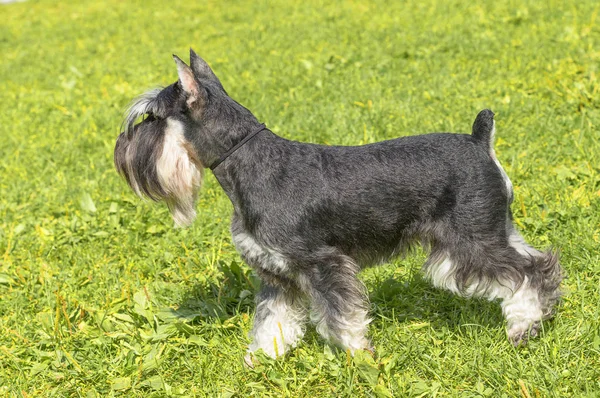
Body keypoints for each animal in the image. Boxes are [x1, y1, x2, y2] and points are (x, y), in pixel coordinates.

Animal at [113, 49, 564, 360]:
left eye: (151, 117)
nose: (120, 149)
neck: (250, 161)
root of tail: (479, 140)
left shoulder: (323, 264)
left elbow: (341, 317)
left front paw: (357, 356)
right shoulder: (276, 275)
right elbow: (271, 320)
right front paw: (261, 360)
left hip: (471, 243)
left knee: (530, 272)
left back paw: (524, 328)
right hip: (492, 230)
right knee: (534, 258)